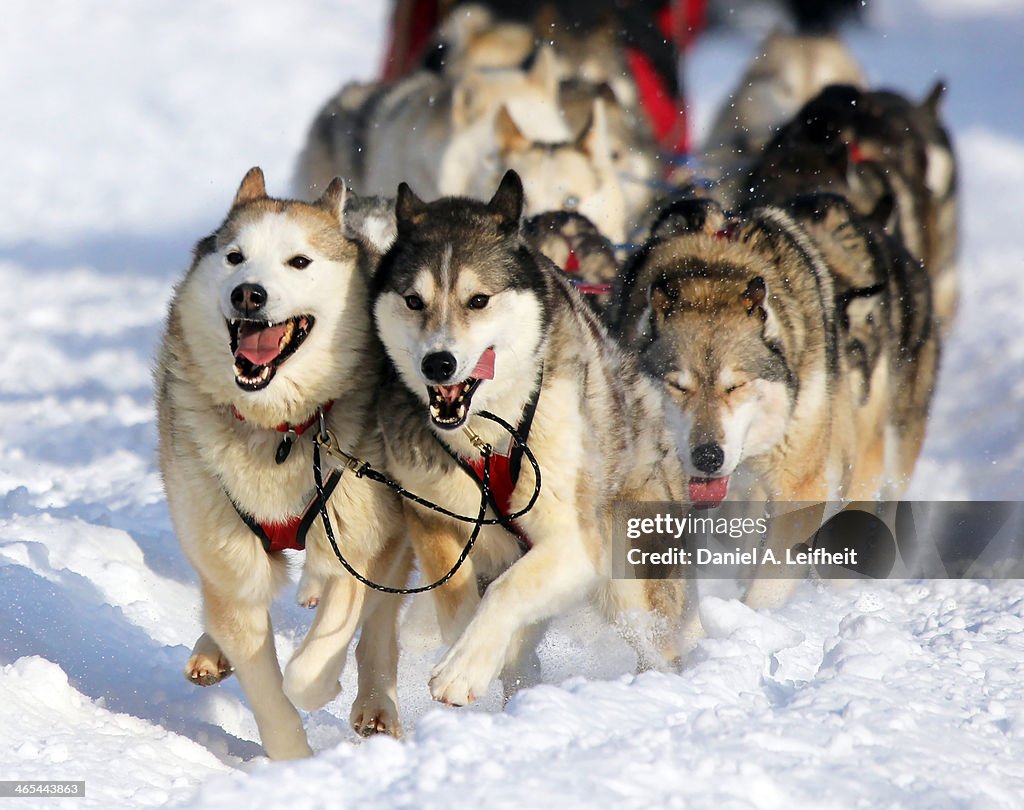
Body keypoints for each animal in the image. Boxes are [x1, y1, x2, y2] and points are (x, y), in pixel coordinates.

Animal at [154, 167, 407, 757]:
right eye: (235, 257)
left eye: (299, 261)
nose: (249, 293)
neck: (281, 430)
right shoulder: (228, 551)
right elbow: (265, 684)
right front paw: (293, 762)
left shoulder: (363, 537)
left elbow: (313, 661)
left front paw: (320, 685)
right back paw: (210, 650)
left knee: (377, 623)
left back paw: (374, 704)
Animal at [372, 169, 692, 704]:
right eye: (414, 301)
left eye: (478, 300)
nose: (437, 363)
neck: (486, 436)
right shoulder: (431, 514)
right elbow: (454, 600)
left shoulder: (576, 544)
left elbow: (507, 592)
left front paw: (462, 669)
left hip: (631, 577)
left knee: (658, 639)